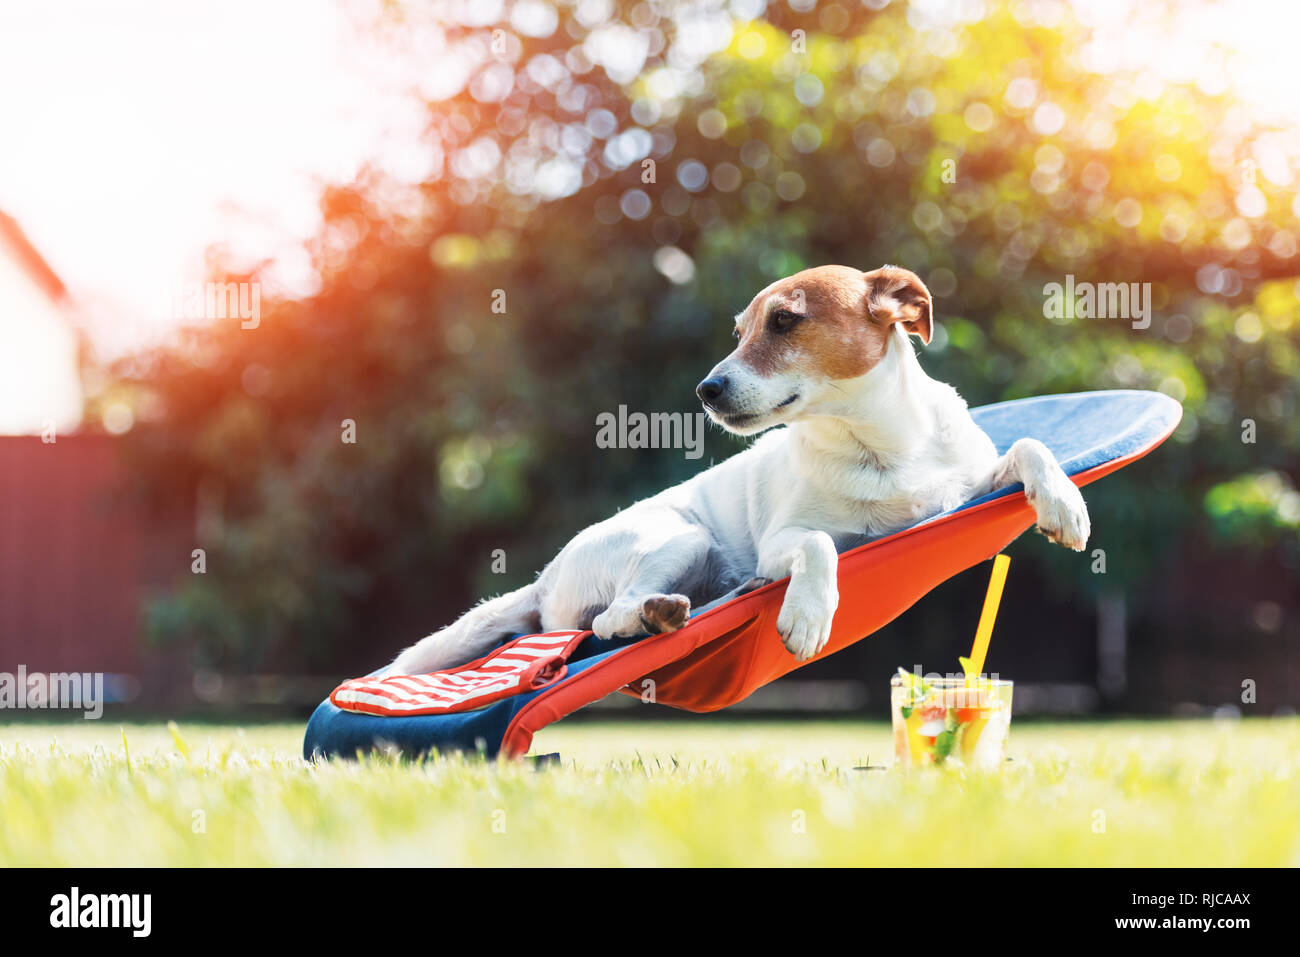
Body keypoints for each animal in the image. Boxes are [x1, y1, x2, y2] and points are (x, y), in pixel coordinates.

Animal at [390, 265, 1092, 676]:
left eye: (784, 320)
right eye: (738, 332)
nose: (705, 390)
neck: (879, 446)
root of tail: (543, 579)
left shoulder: (967, 485)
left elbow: (1030, 445)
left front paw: (1063, 503)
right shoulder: (785, 540)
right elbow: (820, 544)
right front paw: (808, 614)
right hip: (681, 536)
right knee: (607, 620)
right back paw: (657, 613)